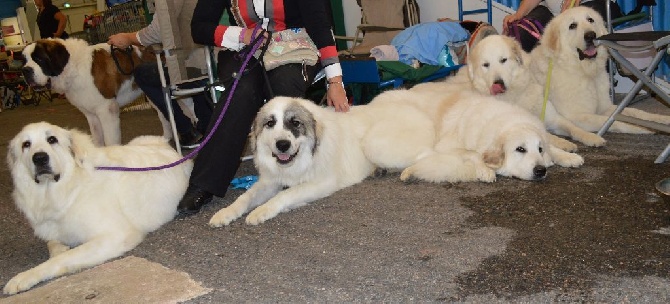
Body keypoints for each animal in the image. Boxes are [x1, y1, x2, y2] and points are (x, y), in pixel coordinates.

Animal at [5, 122, 193, 296]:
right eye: (26, 144)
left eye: (52, 140)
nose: (39, 158)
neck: (68, 188)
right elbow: (53, 244)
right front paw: (58, 248)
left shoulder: (115, 235)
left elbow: (62, 258)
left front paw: (24, 276)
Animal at [210, 96, 378, 227]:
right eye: (270, 123)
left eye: (296, 123)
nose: (283, 144)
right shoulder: (269, 181)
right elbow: (245, 197)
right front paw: (225, 212)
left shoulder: (322, 183)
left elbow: (286, 193)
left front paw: (262, 210)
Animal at [452, 34, 608, 148]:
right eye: (486, 65)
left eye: (503, 60)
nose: (498, 83)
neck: (517, 95)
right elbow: (548, 136)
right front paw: (564, 143)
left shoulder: (554, 118)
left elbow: (573, 128)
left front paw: (592, 137)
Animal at [532, 6, 670, 132]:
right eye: (572, 26)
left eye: (590, 20)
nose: (590, 35)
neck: (585, 73)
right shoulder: (577, 117)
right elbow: (614, 121)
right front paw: (644, 127)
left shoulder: (606, 107)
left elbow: (636, 112)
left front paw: (661, 119)